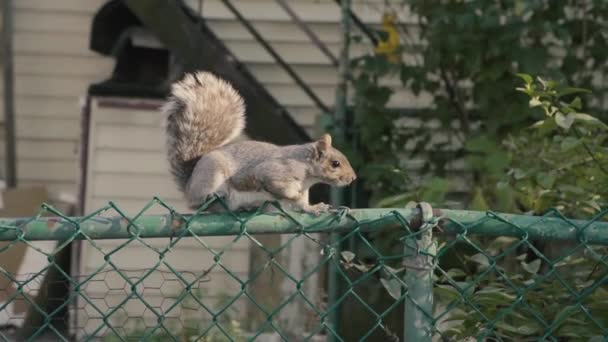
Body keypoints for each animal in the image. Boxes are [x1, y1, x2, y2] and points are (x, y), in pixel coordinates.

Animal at [162, 70, 356, 212]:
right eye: (335, 163)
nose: (353, 178)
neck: (307, 173)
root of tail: (189, 186)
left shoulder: (303, 191)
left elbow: (303, 205)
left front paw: (315, 208)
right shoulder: (274, 171)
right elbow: (274, 183)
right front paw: (290, 196)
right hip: (211, 174)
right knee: (197, 203)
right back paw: (206, 198)